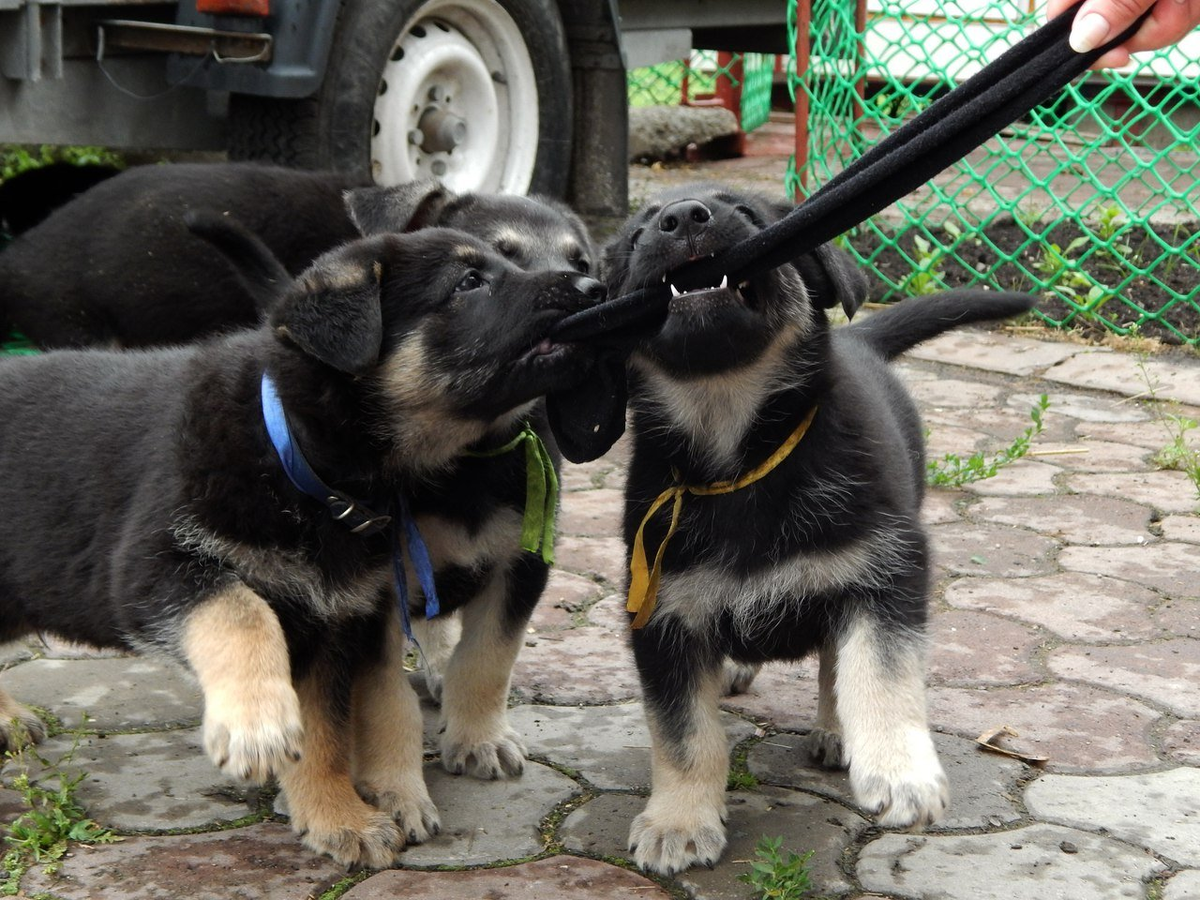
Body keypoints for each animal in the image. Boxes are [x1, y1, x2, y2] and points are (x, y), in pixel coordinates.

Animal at [0, 225, 600, 868]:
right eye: (469, 282)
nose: (596, 289)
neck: (291, 453)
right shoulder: (153, 572)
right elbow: (241, 611)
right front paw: (256, 727)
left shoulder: (331, 620)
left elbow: (327, 733)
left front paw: (336, 817)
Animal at [604, 181, 1036, 873]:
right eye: (640, 232)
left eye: (746, 213)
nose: (681, 218)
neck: (741, 458)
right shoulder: (662, 613)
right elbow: (685, 734)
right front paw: (679, 820)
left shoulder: (885, 570)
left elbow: (878, 673)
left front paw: (900, 771)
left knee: (838, 661)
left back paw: (837, 731)